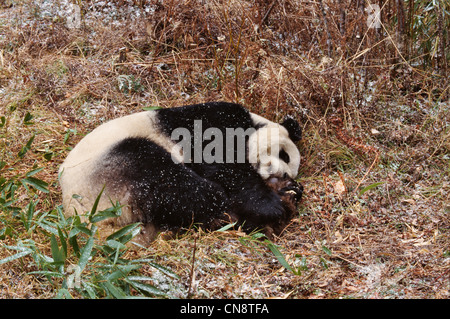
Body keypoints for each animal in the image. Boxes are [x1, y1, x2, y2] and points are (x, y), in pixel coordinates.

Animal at [59, 102, 302, 245]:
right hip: (114, 169)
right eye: (284, 155)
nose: (280, 176)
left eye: (290, 173)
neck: (253, 121)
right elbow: (223, 163)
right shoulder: (215, 120)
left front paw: (291, 190)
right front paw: (271, 205)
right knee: (171, 182)